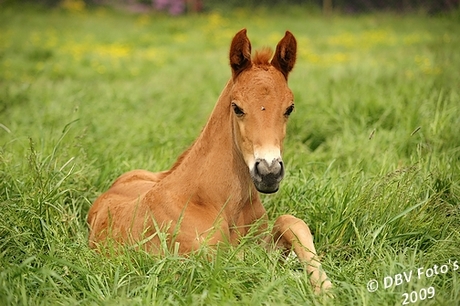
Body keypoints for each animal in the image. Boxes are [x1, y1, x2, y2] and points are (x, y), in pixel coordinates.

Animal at [87, 29, 330, 294]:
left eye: (290, 108)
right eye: (237, 107)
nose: (269, 172)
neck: (211, 200)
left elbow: (292, 222)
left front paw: (324, 288)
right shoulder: (203, 264)